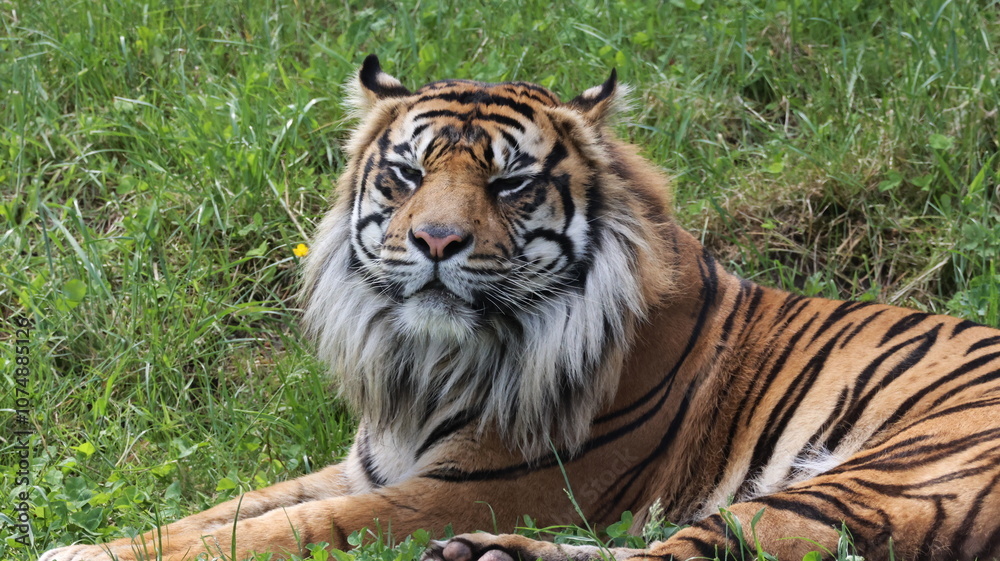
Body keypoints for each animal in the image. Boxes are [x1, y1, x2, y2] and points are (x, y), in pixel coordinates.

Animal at [40, 55, 1000, 561]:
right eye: (406, 174)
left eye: (508, 183)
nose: (435, 241)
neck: (427, 362)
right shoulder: (370, 466)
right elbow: (225, 508)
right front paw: (97, 546)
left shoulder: (476, 487)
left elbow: (282, 527)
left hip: (881, 475)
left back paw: (493, 551)